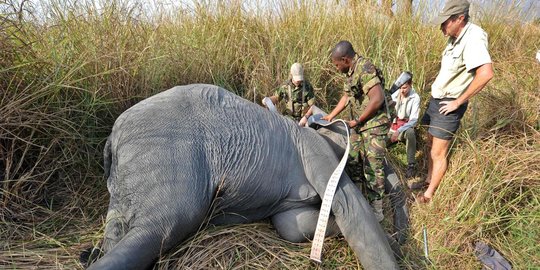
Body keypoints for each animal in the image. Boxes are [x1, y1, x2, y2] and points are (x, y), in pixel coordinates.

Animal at [87, 83, 400, 268]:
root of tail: (113, 137)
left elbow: (290, 224)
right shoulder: (315, 148)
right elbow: (348, 205)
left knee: (118, 228)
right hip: (165, 155)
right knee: (162, 226)